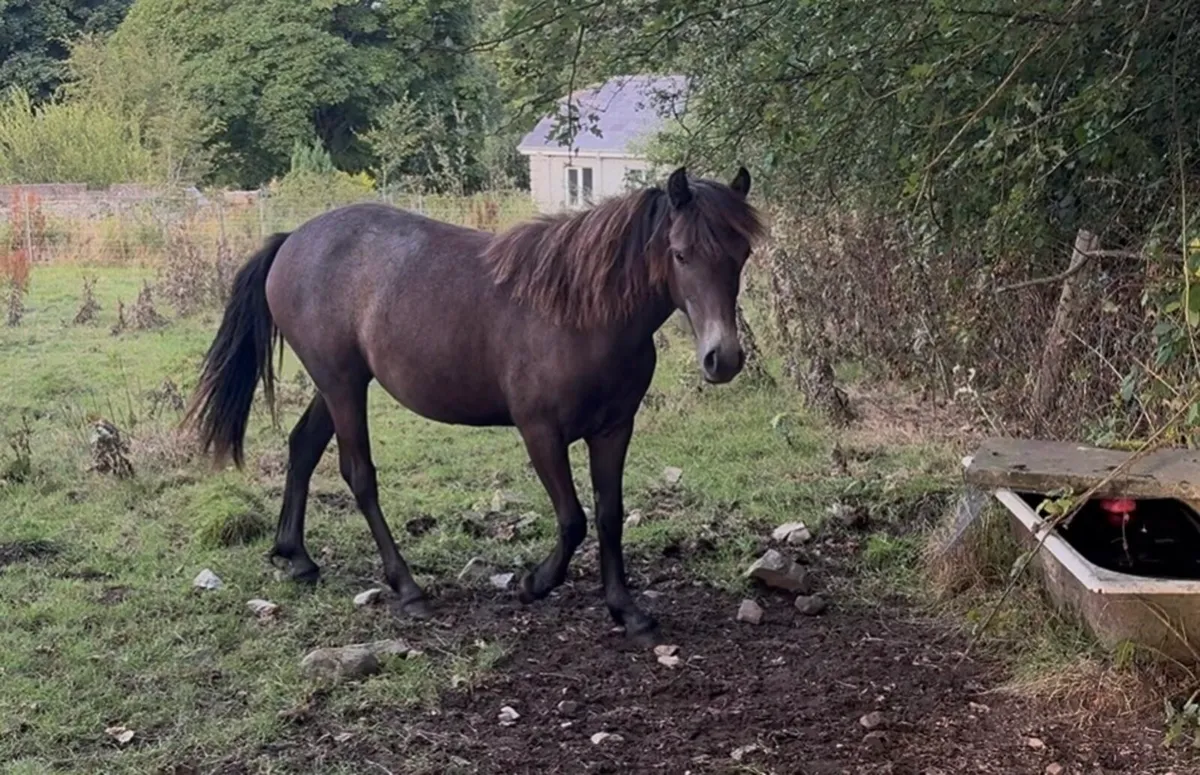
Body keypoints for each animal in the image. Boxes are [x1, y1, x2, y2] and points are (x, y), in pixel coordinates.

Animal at [185, 166, 765, 644]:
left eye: (741, 256)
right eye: (681, 254)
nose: (723, 358)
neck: (582, 315)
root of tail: (292, 241)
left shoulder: (614, 429)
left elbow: (609, 516)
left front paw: (627, 611)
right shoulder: (540, 432)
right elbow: (572, 519)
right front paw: (535, 583)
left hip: (337, 386)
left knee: (303, 447)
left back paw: (297, 557)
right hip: (343, 385)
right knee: (359, 475)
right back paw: (407, 588)